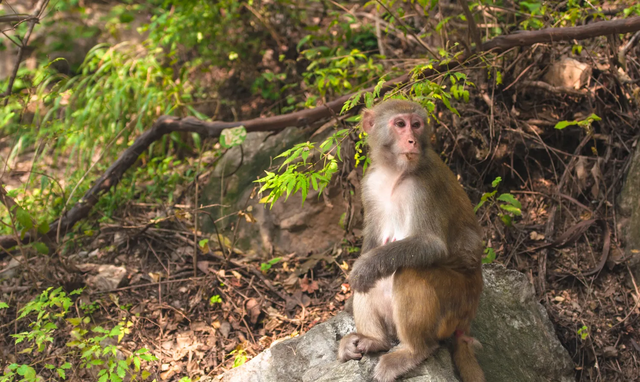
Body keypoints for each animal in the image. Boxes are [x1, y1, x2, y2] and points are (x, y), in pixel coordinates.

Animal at [338, 99, 482, 382]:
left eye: (416, 125)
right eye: (400, 124)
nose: (412, 140)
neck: (394, 172)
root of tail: (468, 317)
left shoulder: (425, 185)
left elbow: (431, 245)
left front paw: (364, 268)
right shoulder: (369, 185)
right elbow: (372, 241)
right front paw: (350, 302)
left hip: (456, 304)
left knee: (410, 271)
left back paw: (414, 351)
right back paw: (374, 340)